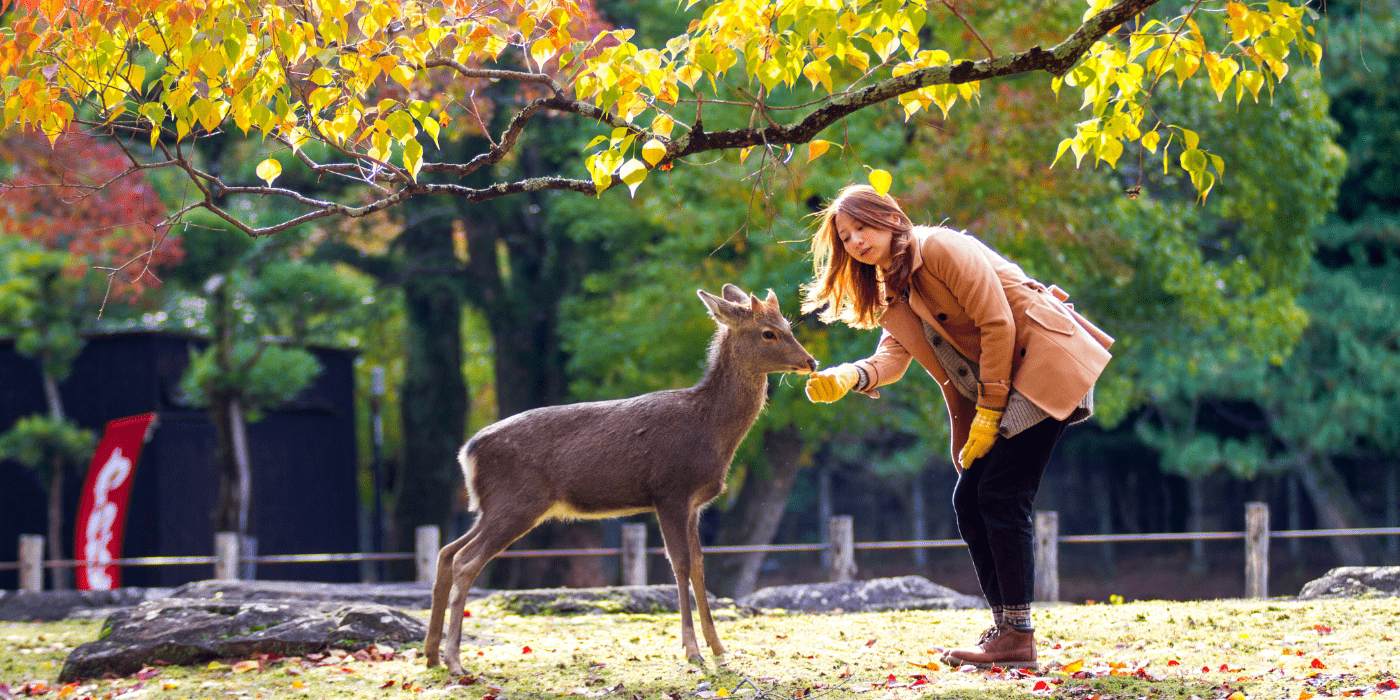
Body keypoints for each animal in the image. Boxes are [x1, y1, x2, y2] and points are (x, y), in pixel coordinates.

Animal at [425, 284, 817, 672]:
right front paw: (692, 651)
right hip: (517, 501)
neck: (711, 430)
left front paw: (719, 648)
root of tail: (468, 452)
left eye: (789, 325)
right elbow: (680, 564)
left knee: (446, 552)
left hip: (492, 506)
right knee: (465, 561)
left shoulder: (695, 503)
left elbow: (700, 565)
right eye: (768, 333)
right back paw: (455, 661)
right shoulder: (670, 491)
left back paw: (431, 655)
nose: (811, 361)